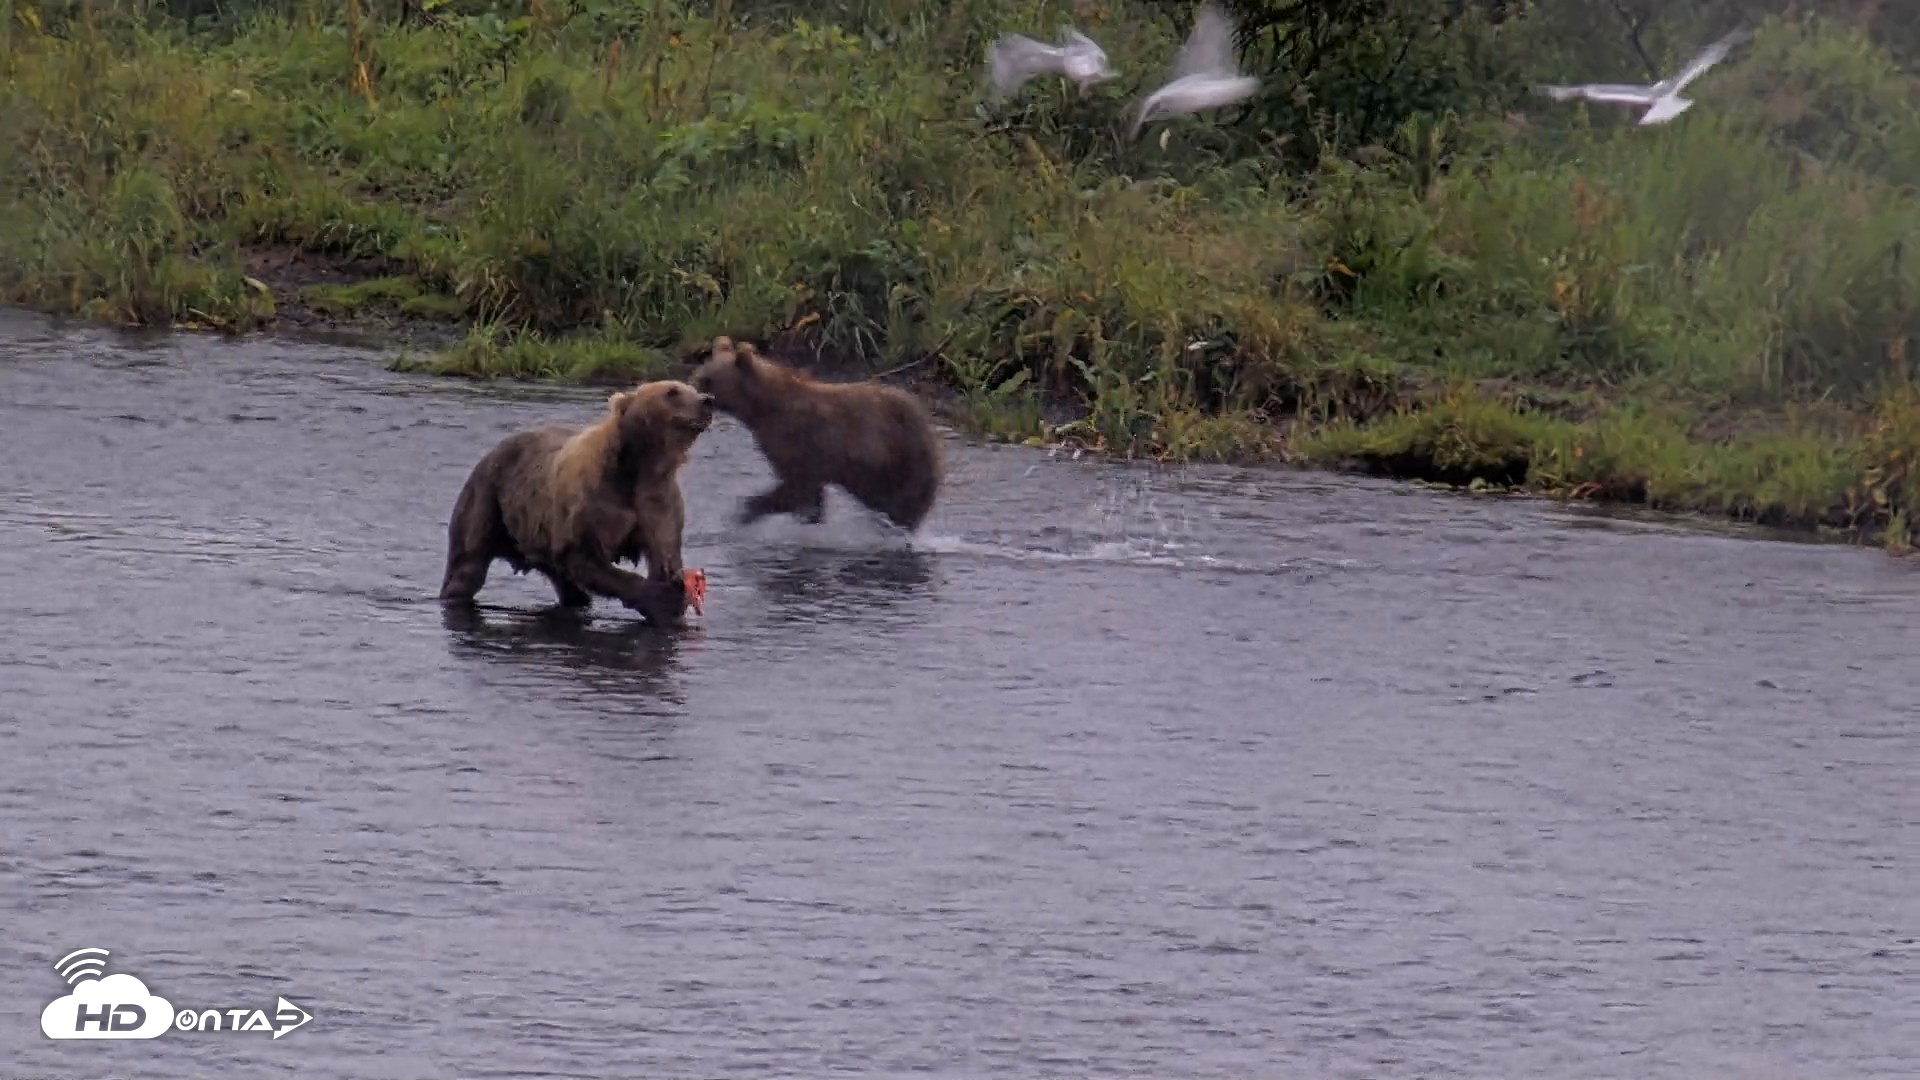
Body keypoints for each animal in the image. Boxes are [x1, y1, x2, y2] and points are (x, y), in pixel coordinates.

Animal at [437, 379, 715, 625]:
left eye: (692, 388)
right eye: (672, 391)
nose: (707, 400)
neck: (639, 468)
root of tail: (492, 450)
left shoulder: (658, 502)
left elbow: (664, 554)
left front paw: (675, 592)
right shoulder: (592, 505)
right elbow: (586, 556)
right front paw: (661, 600)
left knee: (568, 586)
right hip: (488, 499)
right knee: (466, 566)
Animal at [688, 337, 942, 531]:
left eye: (707, 380)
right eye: (699, 374)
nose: (691, 392)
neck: (762, 408)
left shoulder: (799, 440)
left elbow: (798, 486)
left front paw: (747, 511)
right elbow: (810, 495)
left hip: (903, 459)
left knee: (903, 501)